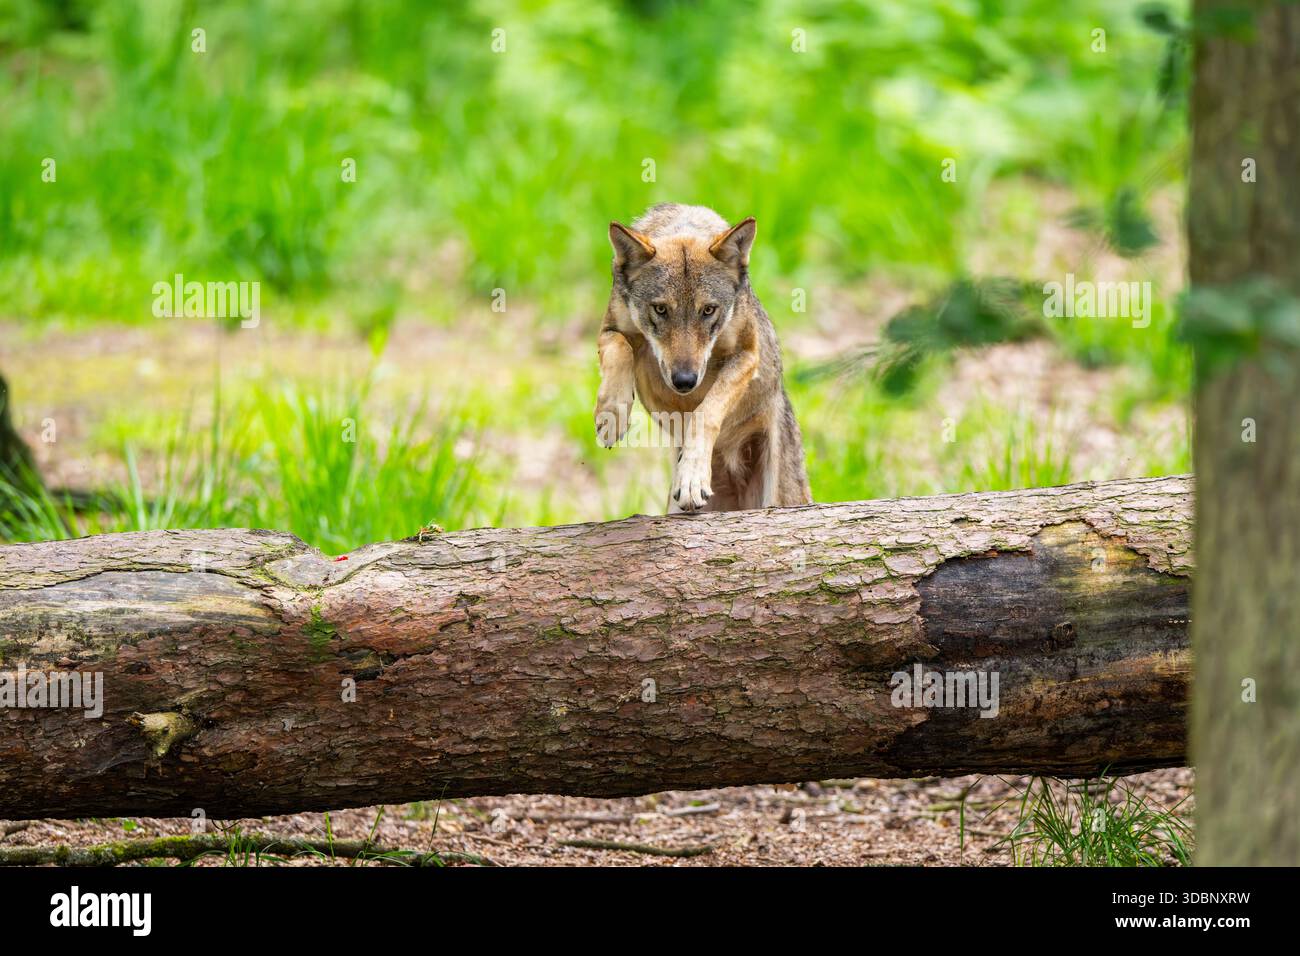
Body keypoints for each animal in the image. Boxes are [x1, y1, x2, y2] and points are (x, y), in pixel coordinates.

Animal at [594, 203, 812, 513]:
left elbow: (705, 412)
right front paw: (612, 416)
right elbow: (620, 350)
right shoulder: (610, 329)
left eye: (708, 310)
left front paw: (692, 477)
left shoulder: (747, 355)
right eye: (660, 309)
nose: (685, 381)